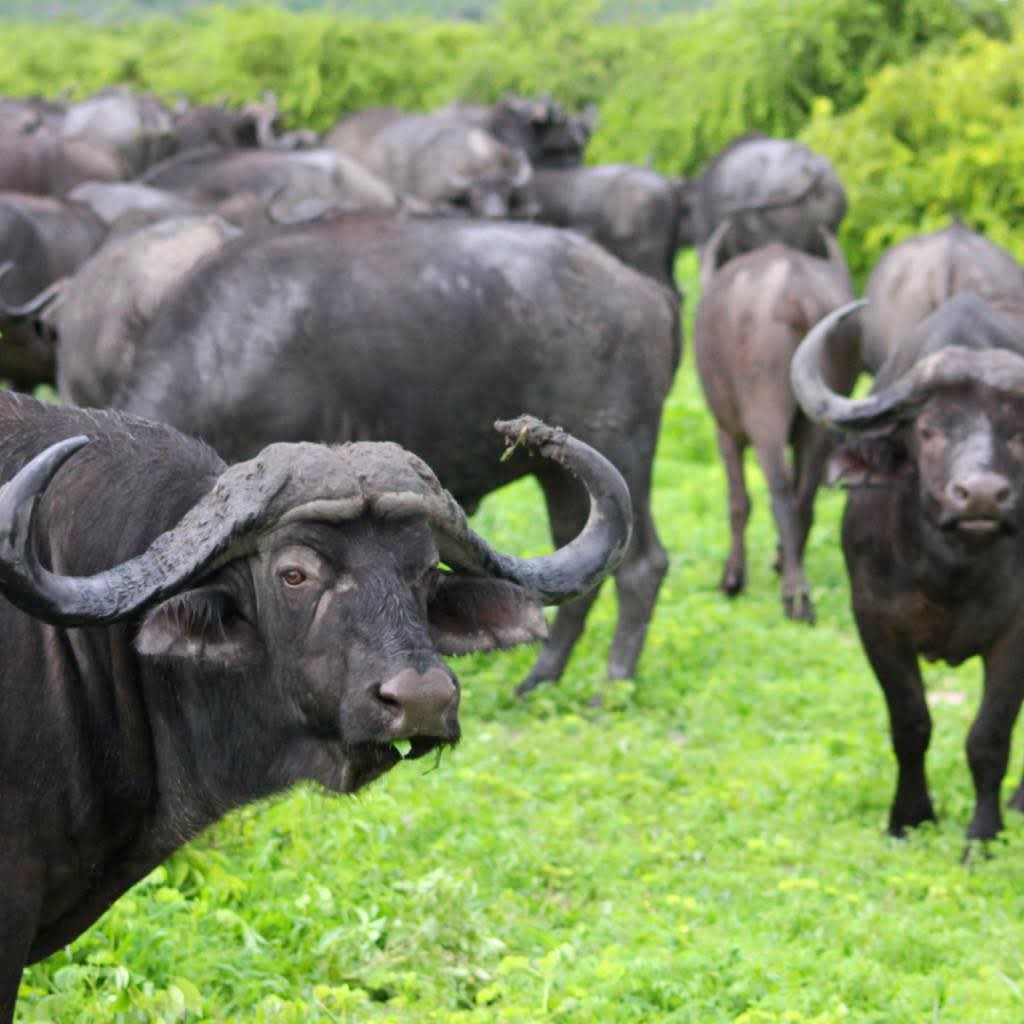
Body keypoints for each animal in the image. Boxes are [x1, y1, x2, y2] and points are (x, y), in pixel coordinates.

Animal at [64, 214, 679, 694]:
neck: (229, 347)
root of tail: (645, 294)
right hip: (561, 476)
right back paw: (541, 679)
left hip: (624, 450)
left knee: (641, 566)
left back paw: (611, 684)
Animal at [695, 230, 858, 622]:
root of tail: (796, 292)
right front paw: (781, 556)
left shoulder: (726, 432)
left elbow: (738, 502)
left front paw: (732, 579)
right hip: (819, 416)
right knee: (805, 498)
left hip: (763, 413)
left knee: (779, 492)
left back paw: (795, 597)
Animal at [792, 292, 1024, 846]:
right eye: (930, 429)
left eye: (1020, 432)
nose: (982, 496)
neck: (951, 569)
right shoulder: (875, 620)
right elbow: (911, 722)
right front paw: (910, 817)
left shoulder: (1017, 632)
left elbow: (989, 737)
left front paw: (983, 836)